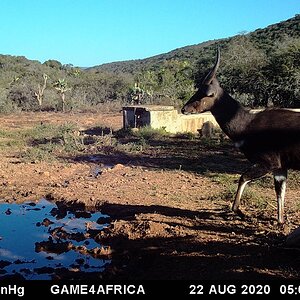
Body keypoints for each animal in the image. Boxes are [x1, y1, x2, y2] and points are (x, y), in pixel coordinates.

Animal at [180, 48, 300, 223]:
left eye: (204, 93)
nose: (184, 109)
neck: (248, 123)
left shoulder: (268, 163)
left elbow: (243, 177)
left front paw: (240, 211)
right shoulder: (280, 167)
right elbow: (280, 192)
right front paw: (280, 222)